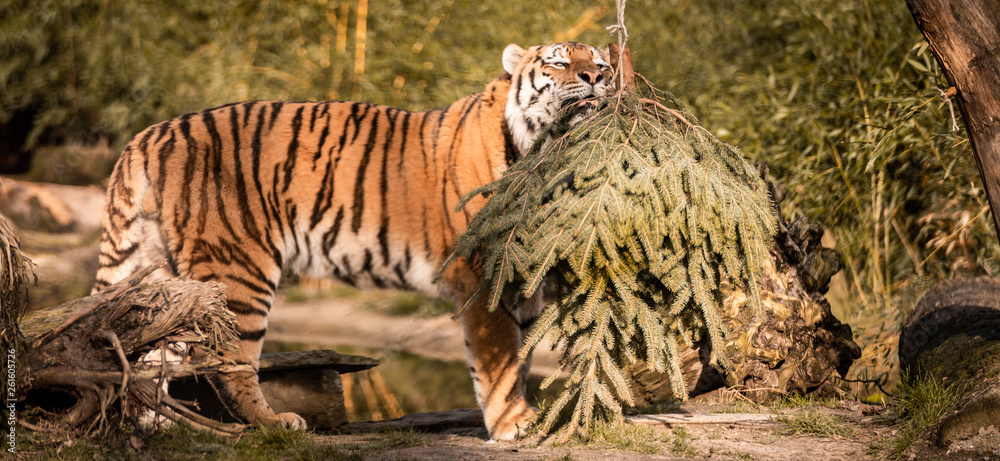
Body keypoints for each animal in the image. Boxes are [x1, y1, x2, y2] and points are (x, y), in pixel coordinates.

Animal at [92, 41, 612, 441]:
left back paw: (158, 426)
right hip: (239, 268)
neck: (546, 154)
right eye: (559, 63)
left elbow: (520, 355)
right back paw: (272, 423)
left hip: (162, 275)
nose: (597, 77)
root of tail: (148, 134)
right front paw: (513, 425)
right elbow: (500, 359)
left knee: (147, 350)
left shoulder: (522, 276)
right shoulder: (484, 274)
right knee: (222, 359)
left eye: (601, 62)